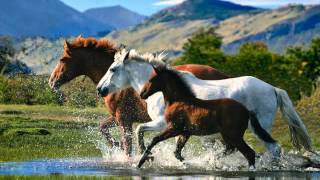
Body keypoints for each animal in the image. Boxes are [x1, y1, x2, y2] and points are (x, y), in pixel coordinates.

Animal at [48, 36, 229, 156]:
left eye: (62, 59)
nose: (51, 81)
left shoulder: (124, 119)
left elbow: (128, 146)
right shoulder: (118, 118)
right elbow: (103, 127)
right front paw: (117, 146)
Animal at [97, 48, 312, 155]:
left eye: (113, 69)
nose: (100, 89)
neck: (165, 89)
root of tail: (272, 88)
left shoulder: (162, 122)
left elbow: (139, 129)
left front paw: (147, 155)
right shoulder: (178, 127)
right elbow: (175, 146)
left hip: (259, 128)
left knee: (273, 149)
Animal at [139, 65, 276, 168]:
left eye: (151, 79)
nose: (142, 94)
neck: (179, 100)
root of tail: (247, 111)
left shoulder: (173, 128)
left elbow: (154, 140)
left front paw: (141, 161)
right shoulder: (185, 132)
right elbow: (177, 153)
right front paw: (187, 163)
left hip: (233, 135)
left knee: (249, 153)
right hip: (228, 136)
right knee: (232, 149)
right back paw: (212, 160)